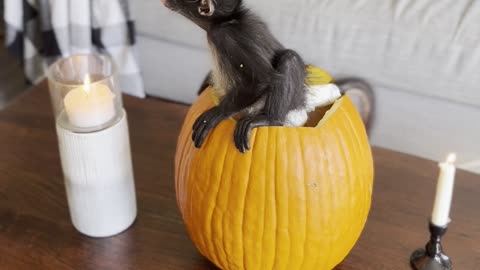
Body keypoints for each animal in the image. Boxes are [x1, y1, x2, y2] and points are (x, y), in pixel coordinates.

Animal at [163, 0, 308, 152]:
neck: (228, 20)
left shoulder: (224, 36)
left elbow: (262, 79)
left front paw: (219, 112)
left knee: (290, 57)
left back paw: (270, 119)